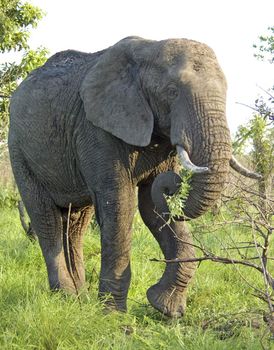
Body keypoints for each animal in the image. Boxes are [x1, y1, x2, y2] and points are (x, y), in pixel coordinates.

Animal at [8, 35, 260, 318]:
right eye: (172, 91)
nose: (174, 183)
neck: (148, 49)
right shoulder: (97, 130)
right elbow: (121, 204)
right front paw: (112, 316)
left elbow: (152, 206)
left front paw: (166, 309)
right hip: (19, 149)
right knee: (46, 218)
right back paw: (66, 298)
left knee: (75, 222)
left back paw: (80, 301)